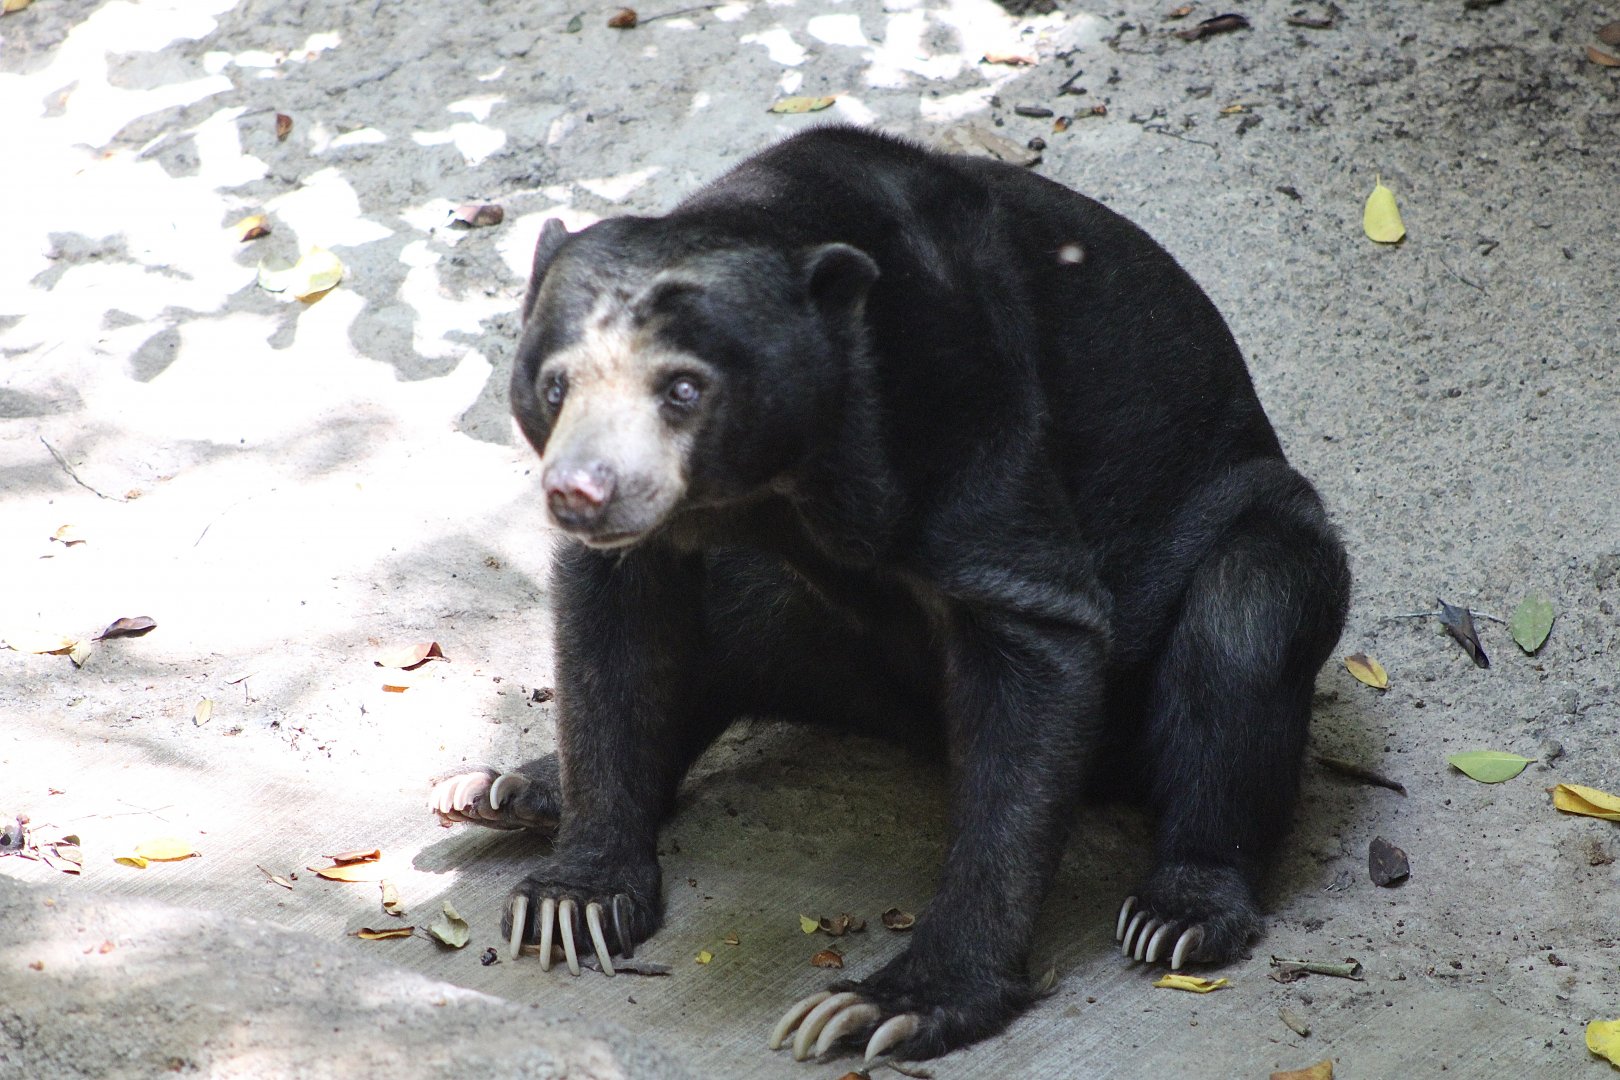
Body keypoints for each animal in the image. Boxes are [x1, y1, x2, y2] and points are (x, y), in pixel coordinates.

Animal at [428, 125, 1351, 1064]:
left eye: (683, 388)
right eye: (556, 384)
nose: (582, 492)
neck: (784, 486)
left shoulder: (962, 407)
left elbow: (1035, 645)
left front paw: (878, 1007)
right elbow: (613, 630)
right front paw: (570, 902)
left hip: (1257, 533)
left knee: (1242, 624)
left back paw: (1178, 912)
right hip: (796, 620)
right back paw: (503, 790)